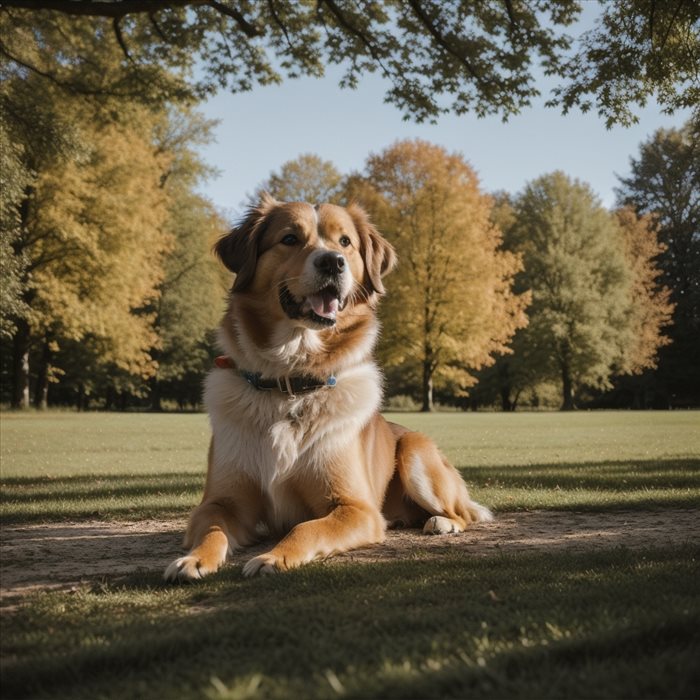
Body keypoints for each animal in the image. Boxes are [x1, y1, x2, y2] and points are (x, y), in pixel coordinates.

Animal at [164, 194, 492, 584]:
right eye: (290, 238)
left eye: (345, 242)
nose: (332, 262)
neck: (290, 381)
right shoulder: (220, 502)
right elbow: (213, 529)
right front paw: (194, 559)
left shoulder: (355, 508)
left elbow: (307, 528)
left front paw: (274, 557)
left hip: (416, 452)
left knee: (463, 513)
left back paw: (441, 522)